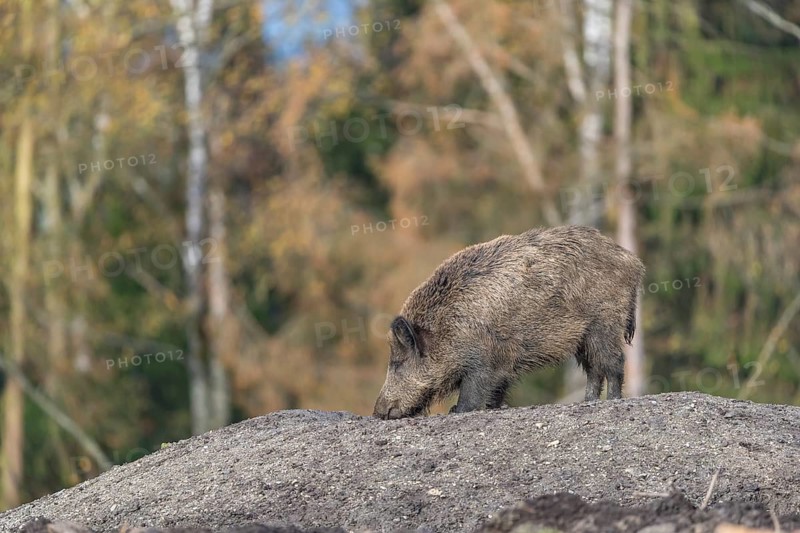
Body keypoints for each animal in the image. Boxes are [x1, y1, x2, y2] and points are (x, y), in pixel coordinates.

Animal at [373, 225, 645, 419]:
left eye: (397, 363)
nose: (378, 412)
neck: (446, 328)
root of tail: (634, 263)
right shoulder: (502, 366)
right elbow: (496, 391)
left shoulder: (485, 362)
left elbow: (472, 394)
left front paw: (456, 411)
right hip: (583, 337)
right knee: (593, 369)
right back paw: (587, 401)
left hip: (604, 323)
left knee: (614, 363)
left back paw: (613, 400)